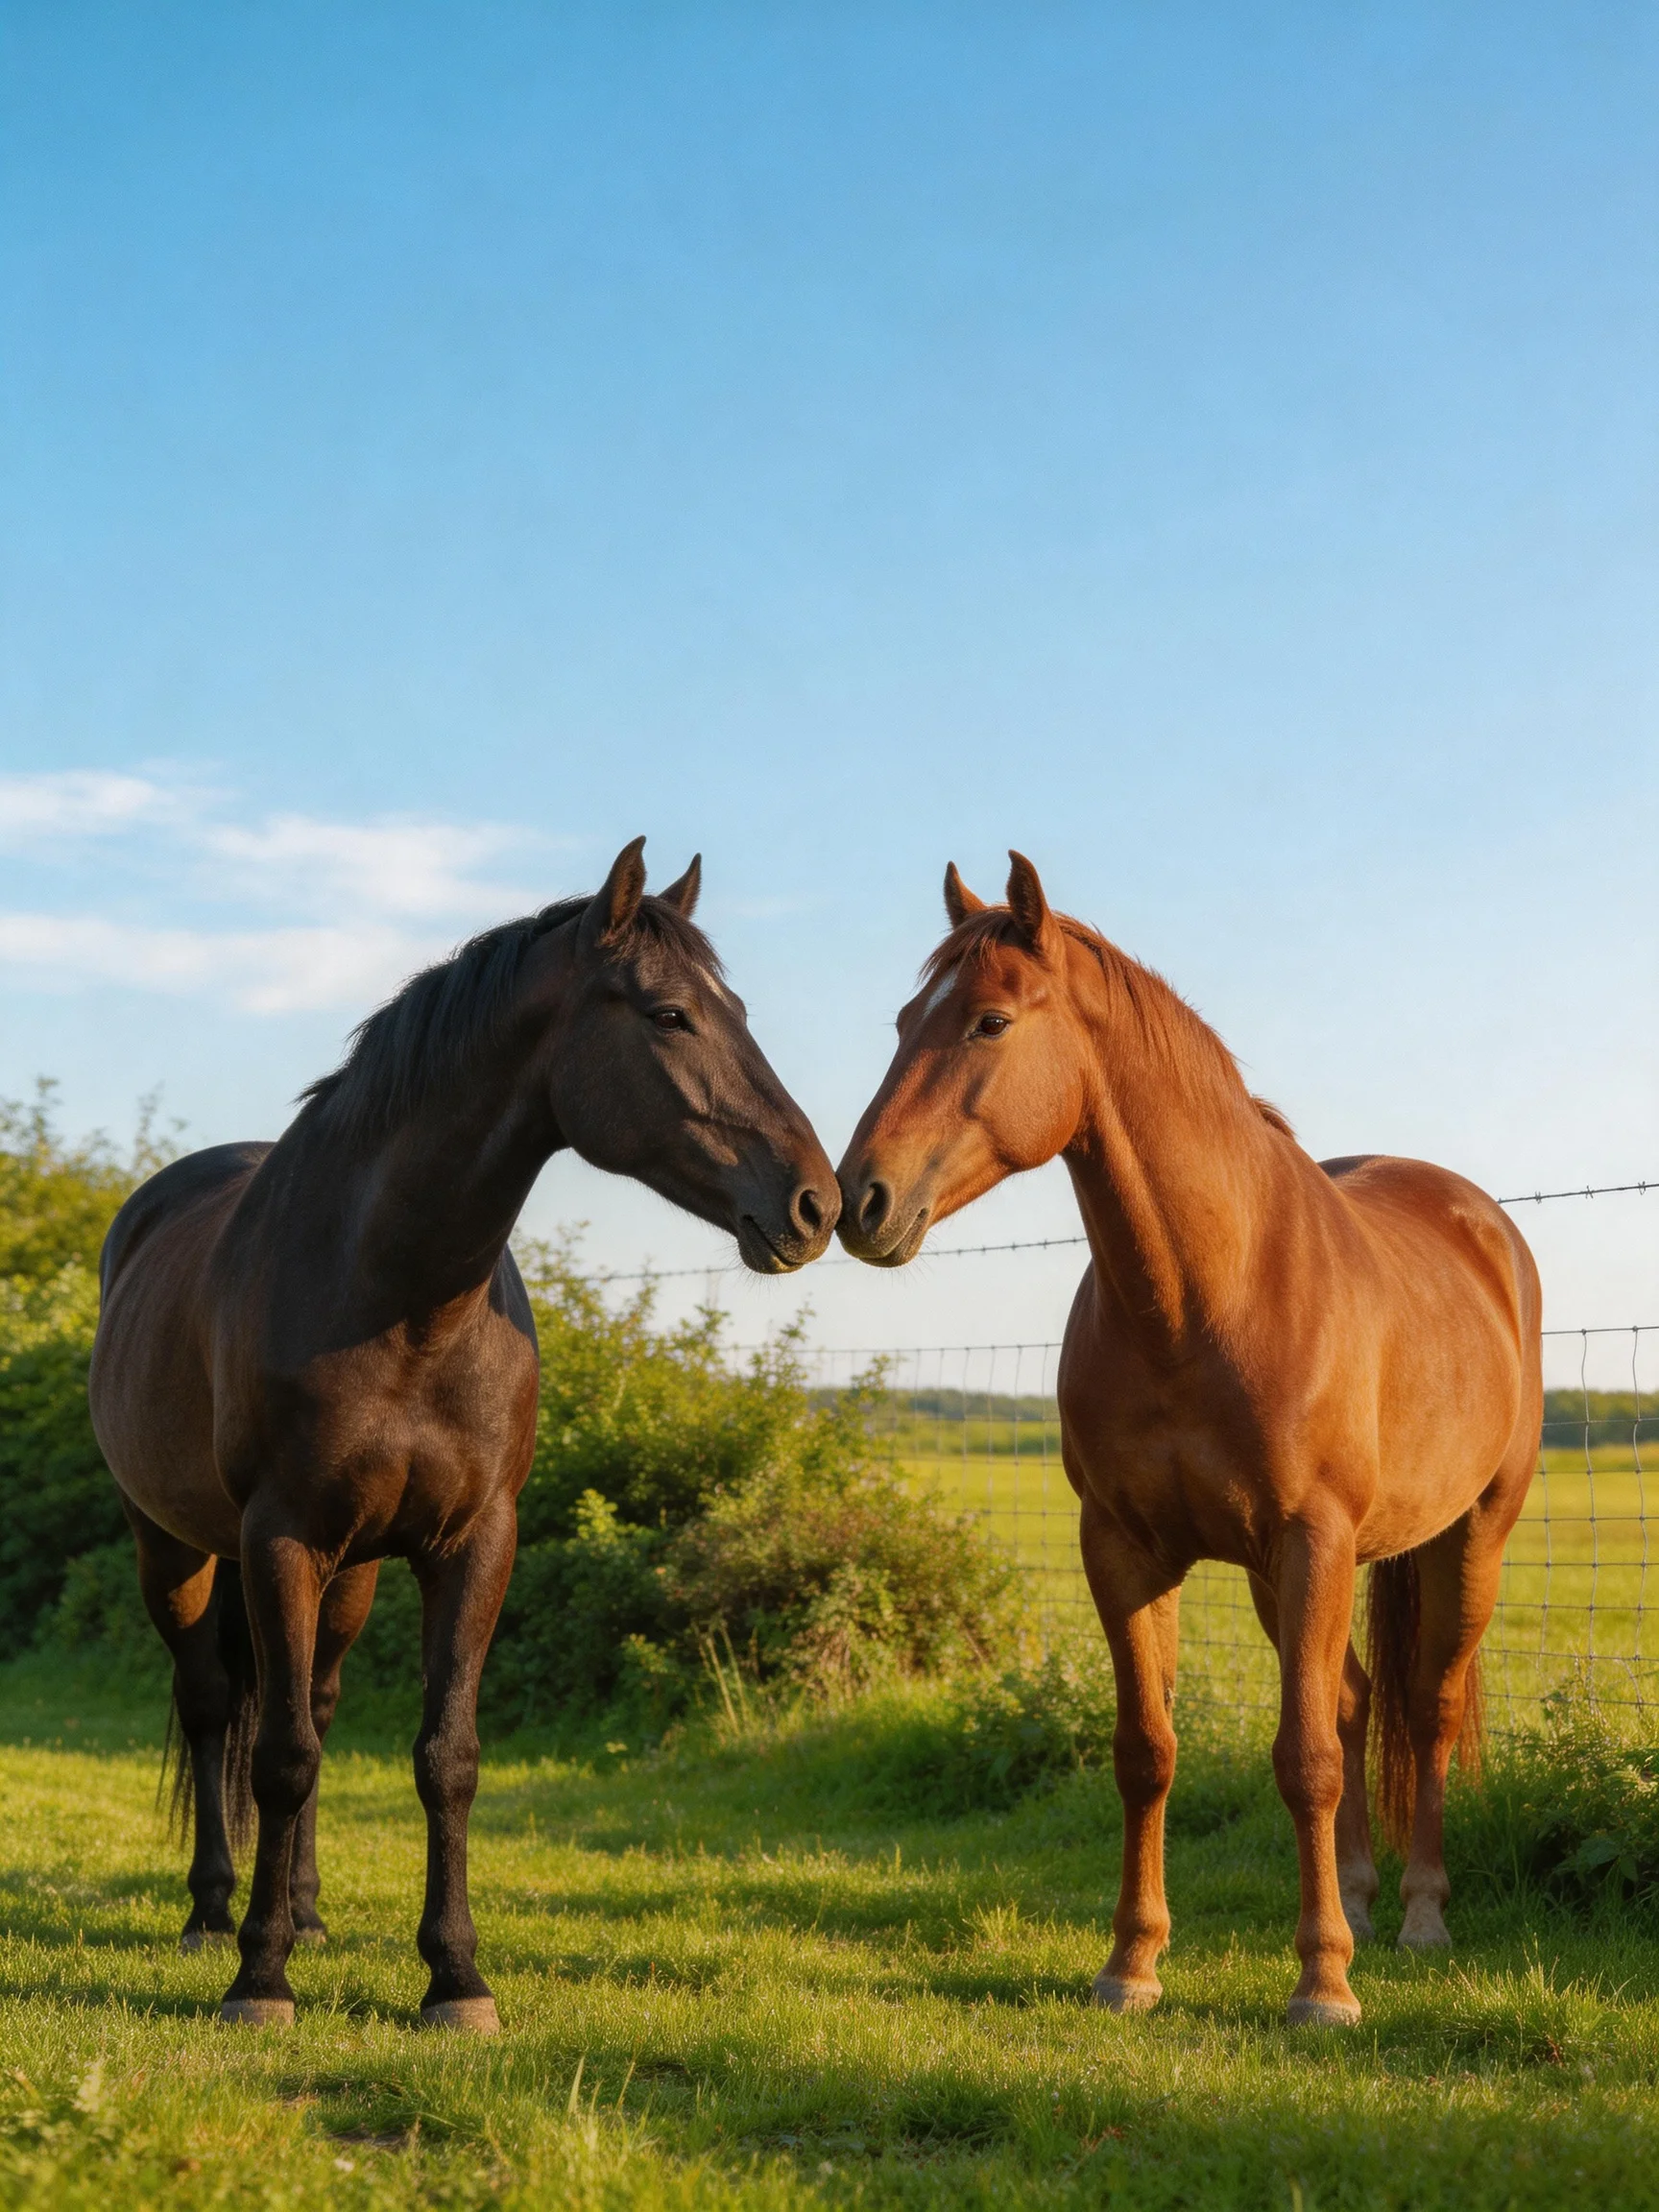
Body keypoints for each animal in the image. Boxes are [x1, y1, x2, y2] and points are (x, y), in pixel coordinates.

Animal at [88, 838, 838, 2031]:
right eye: (670, 1015)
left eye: (738, 1010)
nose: (818, 1204)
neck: (398, 1298)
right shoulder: (280, 1539)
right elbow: (280, 1757)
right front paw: (260, 1978)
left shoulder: (474, 1542)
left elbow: (443, 1756)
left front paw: (454, 1978)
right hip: (173, 1544)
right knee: (213, 1709)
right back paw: (213, 1913)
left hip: (349, 1573)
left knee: (317, 1702)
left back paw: (306, 1911)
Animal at [835, 851, 1540, 2027]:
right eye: (897, 1022)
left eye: (989, 1021)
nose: (858, 1203)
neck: (1206, 1296)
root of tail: (1479, 1224)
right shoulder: (1126, 1549)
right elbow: (1147, 1752)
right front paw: (1133, 1963)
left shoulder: (1312, 1541)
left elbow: (1304, 1760)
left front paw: (1322, 1985)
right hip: (1277, 1575)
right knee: (1356, 1703)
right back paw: (1355, 1895)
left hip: (1465, 1540)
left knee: (1425, 1711)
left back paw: (1418, 1917)